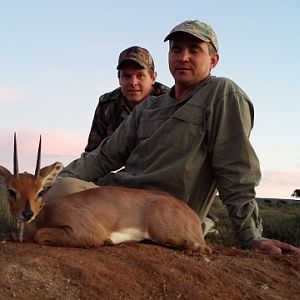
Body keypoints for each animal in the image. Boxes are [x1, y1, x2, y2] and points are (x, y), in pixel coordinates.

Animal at [0, 135, 211, 254]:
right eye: (12, 190)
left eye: (40, 191)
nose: (27, 214)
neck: (43, 216)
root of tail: (192, 215)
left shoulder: (86, 231)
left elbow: (40, 235)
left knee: (203, 248)